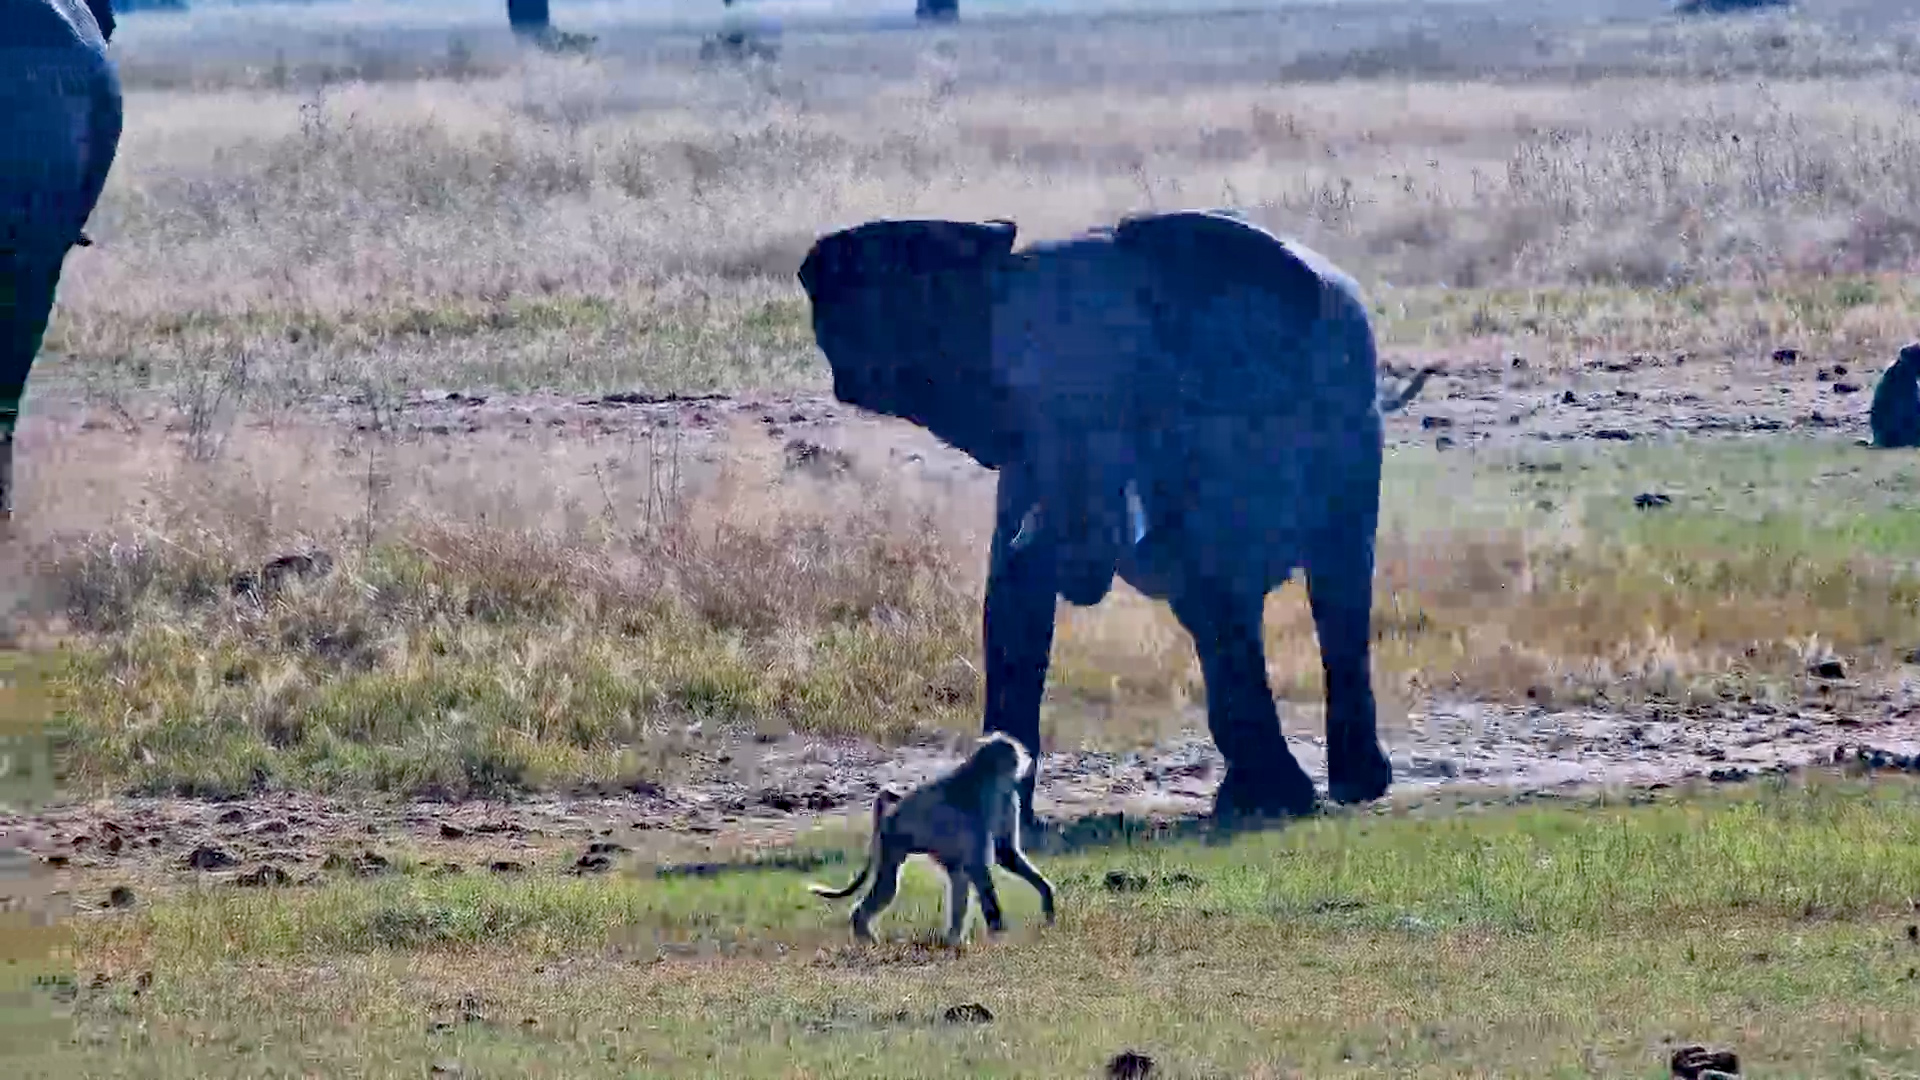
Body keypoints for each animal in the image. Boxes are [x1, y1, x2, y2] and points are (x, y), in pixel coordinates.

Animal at [796, 208, 1433, 826]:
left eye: (1140, 390)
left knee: (1331, 590)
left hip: (1352, 432)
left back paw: (1337, 790)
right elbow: (1013, 605)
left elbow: (1218, 587)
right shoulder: (1028, 462)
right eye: (1013, 395)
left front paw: (1284, 802)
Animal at [808, 731, 1056, 946]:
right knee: (891, 882)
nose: (1025, 760)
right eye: (1012, 755)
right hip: (893, 839)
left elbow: (1005, 852)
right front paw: (998, 931)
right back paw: (865, 932)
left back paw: (953, 940)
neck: (986, 775)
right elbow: (980, 863)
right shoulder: (988, 799)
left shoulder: (1006, 797)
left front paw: (1047, 897)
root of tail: (892, 813)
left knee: (956, 875)